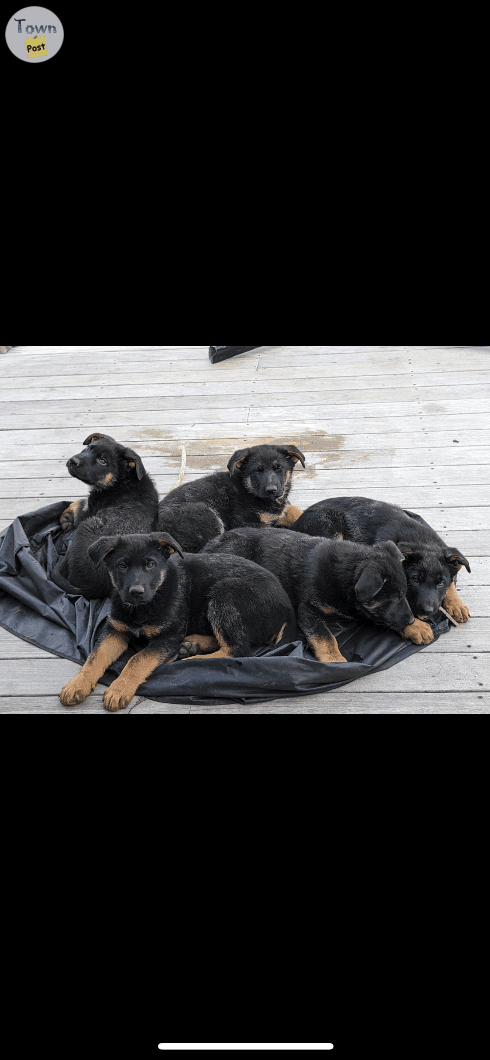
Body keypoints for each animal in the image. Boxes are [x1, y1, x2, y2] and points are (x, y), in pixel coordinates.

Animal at [55, 430, 159, 597]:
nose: (72, 461)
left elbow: (80, 503)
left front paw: (67, 515)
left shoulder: (89, 511)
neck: (121, 480)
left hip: (88, 525)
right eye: (88, 448)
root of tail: (92, 589)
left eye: (103, 461)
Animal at [60, 530, 299, 712]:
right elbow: (95, 656)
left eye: (150, 564)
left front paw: (119, 688)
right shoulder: (115, 629)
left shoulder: (169, 636)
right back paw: (194, 644)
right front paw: (77, 684)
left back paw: (194, 660)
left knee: (238, 649)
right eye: (122, 565)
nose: (136, 592)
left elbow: (137, 659)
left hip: (224, 593)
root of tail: (287, 608)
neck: (144, 606)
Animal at [200, 527, 419, 661]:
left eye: (404, 594)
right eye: (394, 597)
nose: (410, 620)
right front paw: (335, 660)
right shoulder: (307, 608)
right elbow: (325, 636)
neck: (344, 576)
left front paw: (417, 627)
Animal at [290, 496, 470, 635]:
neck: (420, 541)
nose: (427, 611)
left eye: (440, 583)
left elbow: (451, 581)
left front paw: (456, 604)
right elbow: (389, 611)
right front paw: (415, 628)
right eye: (415, 580)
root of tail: (295, 523)